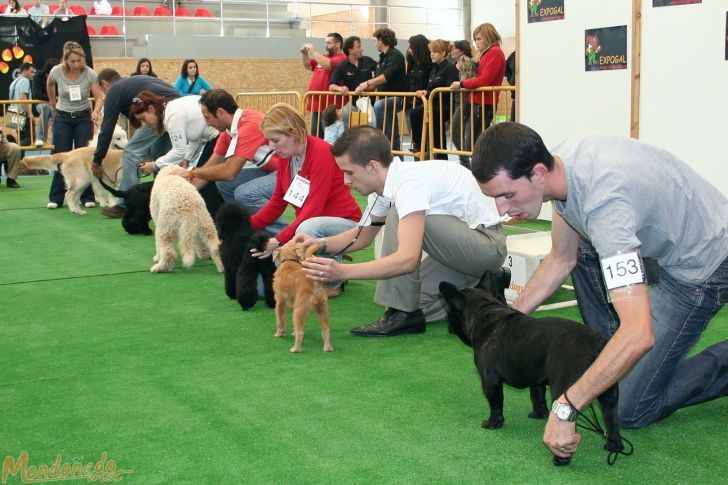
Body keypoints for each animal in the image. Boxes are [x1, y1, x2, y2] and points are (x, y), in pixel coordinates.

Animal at [440, 272, 624, 466]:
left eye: (448, 311)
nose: (448, 325)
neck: (485, 310)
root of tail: (594, 343)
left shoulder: (490, 380)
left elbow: (495, 404)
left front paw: (492, 424)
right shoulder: (536, 378)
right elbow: (537, 396)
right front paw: (538, 414)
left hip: (564, 389)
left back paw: (560, 459)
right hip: (609, 390)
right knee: (612, 417)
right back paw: (614, 446)